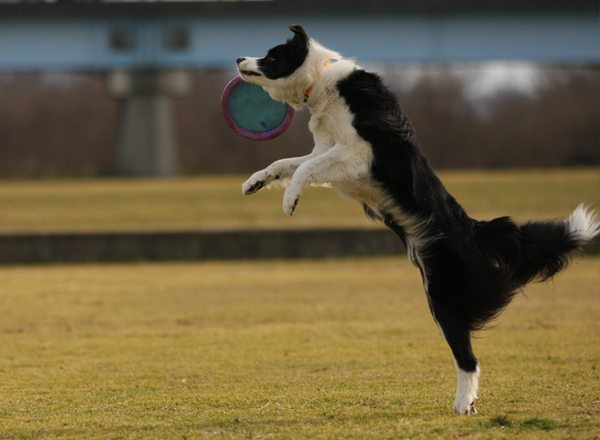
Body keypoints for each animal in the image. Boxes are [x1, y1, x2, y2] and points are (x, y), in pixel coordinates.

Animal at [237, 25, 596, 414]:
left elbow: (303, 168)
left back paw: (462, 404)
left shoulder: (358, 153)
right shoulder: (329, 152)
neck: (320, 79)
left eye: (272, 56)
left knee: (468, 358)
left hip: (443, 295)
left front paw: (290, 199)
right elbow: (286, 163)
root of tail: (474, 229)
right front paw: (255, 181)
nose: (238, 58)